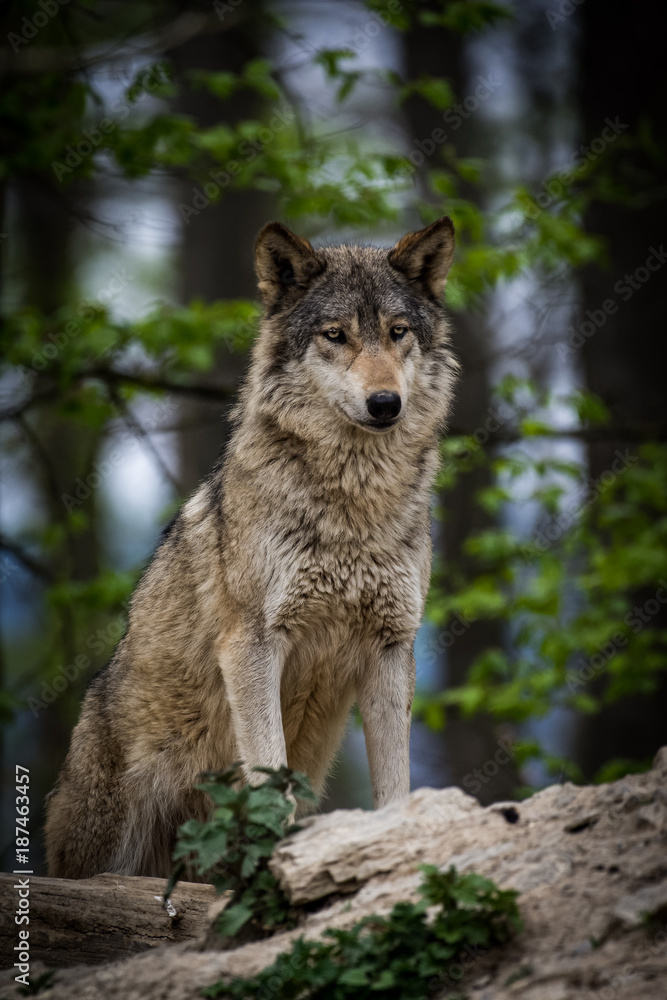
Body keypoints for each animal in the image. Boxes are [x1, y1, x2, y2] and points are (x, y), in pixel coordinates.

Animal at [44, 217, 456, 876]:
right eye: (335, 335)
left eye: (398, 333)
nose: (385, 403)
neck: (353, 505)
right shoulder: (254, 644)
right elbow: (269, 774)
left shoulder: (392, 649)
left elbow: (396, 785)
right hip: (118, 838)